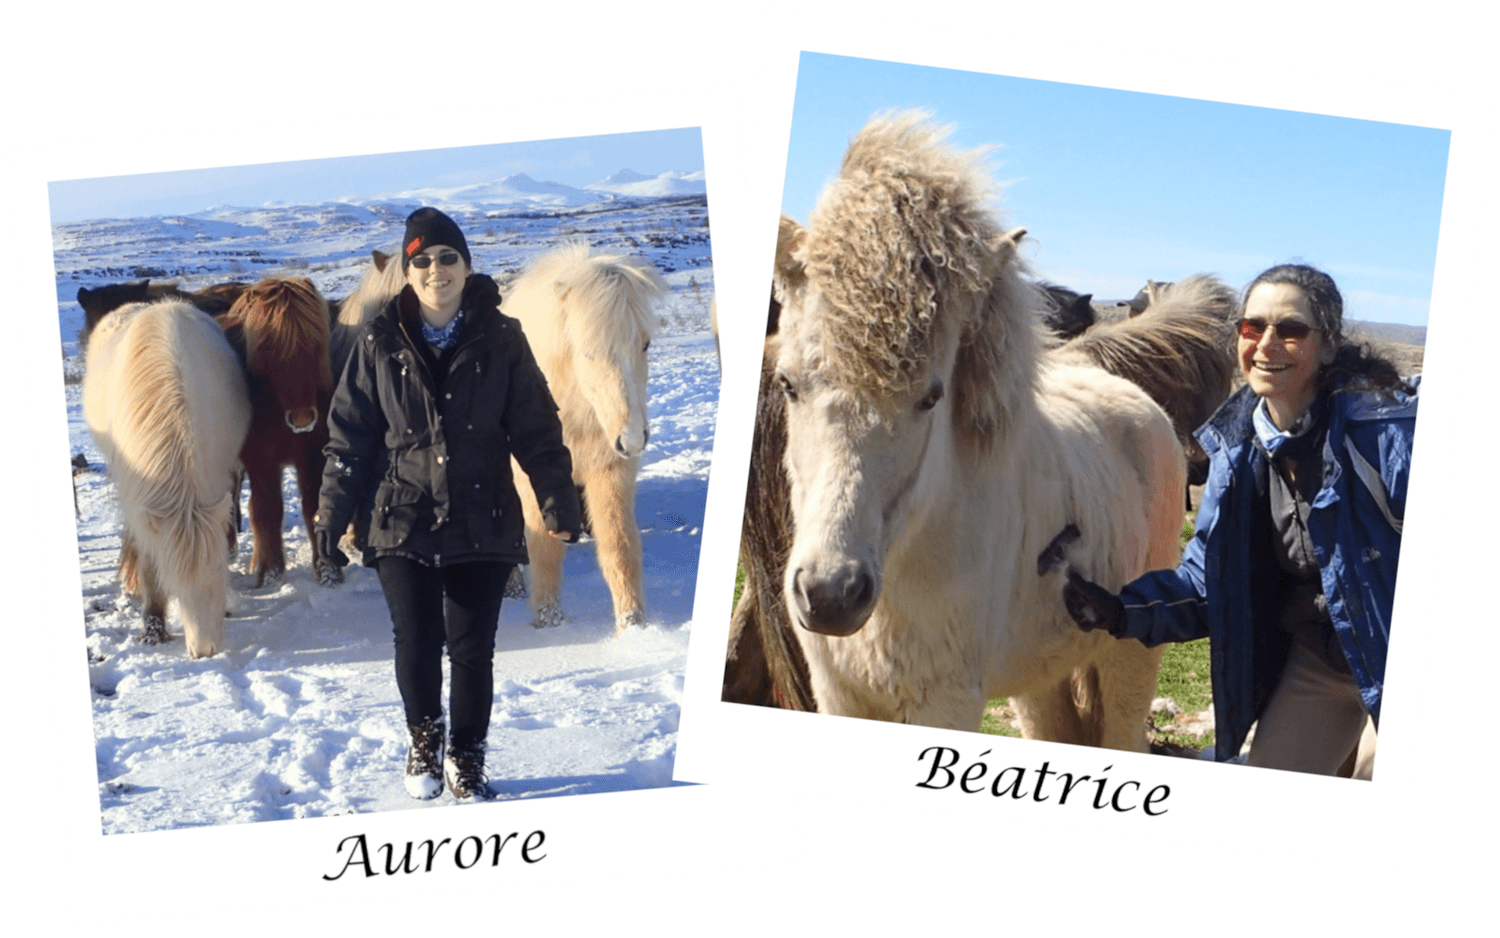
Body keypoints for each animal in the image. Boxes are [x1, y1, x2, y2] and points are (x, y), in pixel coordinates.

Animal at [82, 299, 251, 657]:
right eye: (173, 580)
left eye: (218, 571)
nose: (205, 651)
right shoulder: (139, 500)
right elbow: (148, 561)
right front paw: (153, 627)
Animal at [216, 277, 335, 587]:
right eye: (268, 348)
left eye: (314, 342)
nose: (303, 417)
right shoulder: (261, 461)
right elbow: (266, 511)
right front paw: (269, 573)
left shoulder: (312, 454)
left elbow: (313, 507)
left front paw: (328, 571)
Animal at [501, 243, 666, 631]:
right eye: (588, 351)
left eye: (645, 344)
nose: (632, 439)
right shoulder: (533, 480)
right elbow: (544, 550)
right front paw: (549, 621)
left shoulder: (609, 472)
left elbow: (619, 547)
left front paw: (633, 624)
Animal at [771, 113, 1186, 747]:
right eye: (788, 384)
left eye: (931, 397)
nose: (831, 595)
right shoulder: (837, 696)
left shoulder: (946, 704)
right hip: (1039, 680)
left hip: (1130, 659)